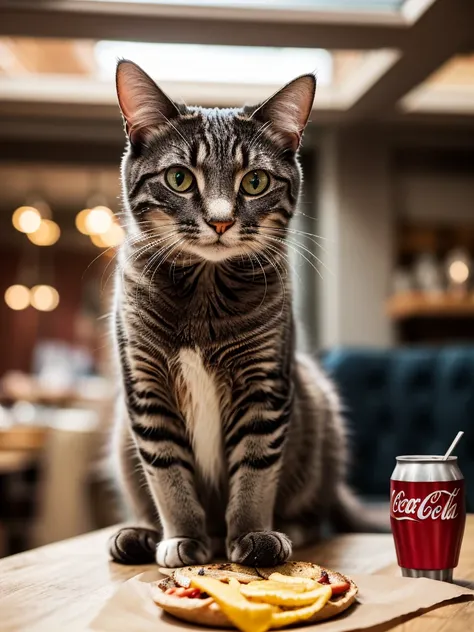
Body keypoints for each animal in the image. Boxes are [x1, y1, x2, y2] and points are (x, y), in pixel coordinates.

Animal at [108, 61, 370, 572]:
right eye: (179, 178)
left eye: (254, 182)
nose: (221, 220)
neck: (204, 289)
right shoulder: (146, 388)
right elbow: (166, 472)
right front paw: (183, 536)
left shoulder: (264, 385)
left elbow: (255, 467)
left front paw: (253, 534)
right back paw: (139, 534)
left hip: (317, 409)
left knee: (315, 510)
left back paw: (292, 528)